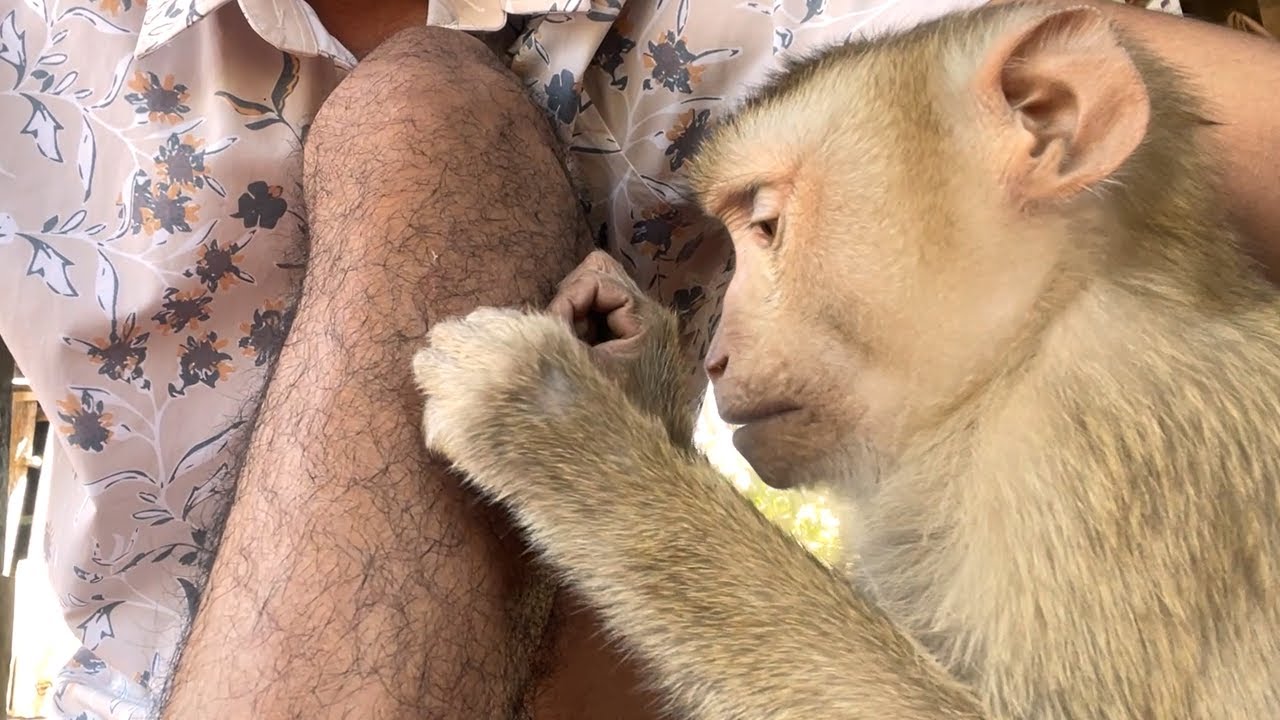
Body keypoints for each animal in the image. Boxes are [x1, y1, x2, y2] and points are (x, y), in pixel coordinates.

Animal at [411, 2, 1280, 718]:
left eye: (765, 223)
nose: (718, 353)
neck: (1024, 349)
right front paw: (629, 364)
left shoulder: (1109, 444)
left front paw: (550, 416)